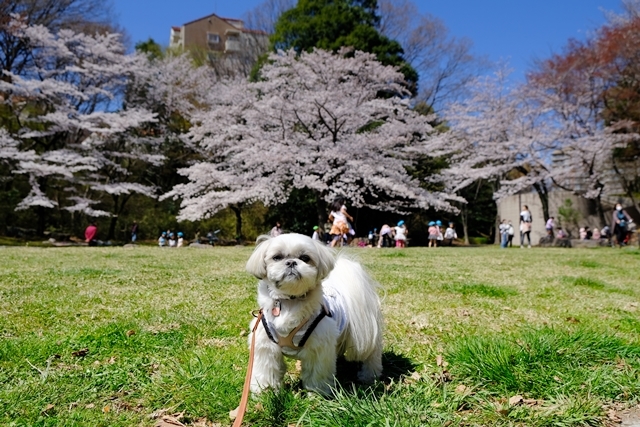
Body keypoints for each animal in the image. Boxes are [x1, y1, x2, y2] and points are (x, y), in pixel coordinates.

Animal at [246, 232, 382, 396]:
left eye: (305, 258)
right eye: (277, 257)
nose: (291, 262)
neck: (291, 301)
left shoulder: (319, 346)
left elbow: (316, 373)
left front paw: (317, 393)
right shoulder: (266, 345)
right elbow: (267, 371)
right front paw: (266, 391)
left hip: (365, 335)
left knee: (371, 356)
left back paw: (368, 376)